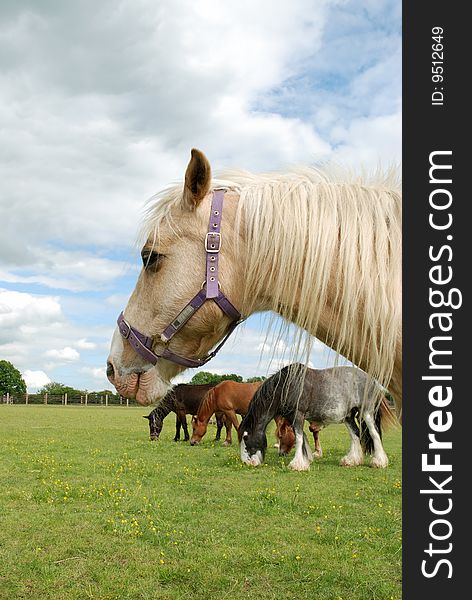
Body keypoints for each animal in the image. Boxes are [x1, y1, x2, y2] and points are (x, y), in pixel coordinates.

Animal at [238, 364, 396, 472]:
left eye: (246, 437)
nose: (246, 462)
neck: (287, 386)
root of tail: (373, 381)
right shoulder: (294, 418)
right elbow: (303, 438)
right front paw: (306, 459)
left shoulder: (298, 415)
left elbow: (299, 438)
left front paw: (297, 464)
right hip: (349, 417)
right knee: (355, 434)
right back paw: (351, 460)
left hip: (367, 413)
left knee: (374, 433)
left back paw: (379, 462)